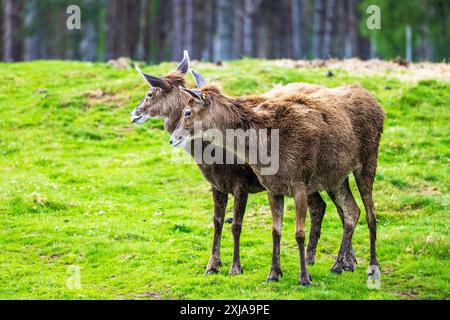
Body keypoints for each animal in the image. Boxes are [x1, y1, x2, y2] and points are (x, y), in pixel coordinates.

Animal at [132, 52, 342, 278]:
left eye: (150, 93)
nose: (134, 114)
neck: (211, 156)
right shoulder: (216, 184)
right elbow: (216, 221)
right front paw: (212, 265)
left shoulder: (241, 183)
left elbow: (236, 225)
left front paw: (235, 267)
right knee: (320, 206)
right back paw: (312, 258)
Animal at [171, 72, 384, 284]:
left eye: (187, 112)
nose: (173, 139)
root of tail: (377, 104)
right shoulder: (272, 187)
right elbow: (276, 230)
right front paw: (273, 273)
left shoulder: (300, 182)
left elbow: (299, 233)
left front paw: (304, 277)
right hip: (336, 177)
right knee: (351, 211)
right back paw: (338, 265)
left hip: (368, 160)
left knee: (370, 214)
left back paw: (373, 267)